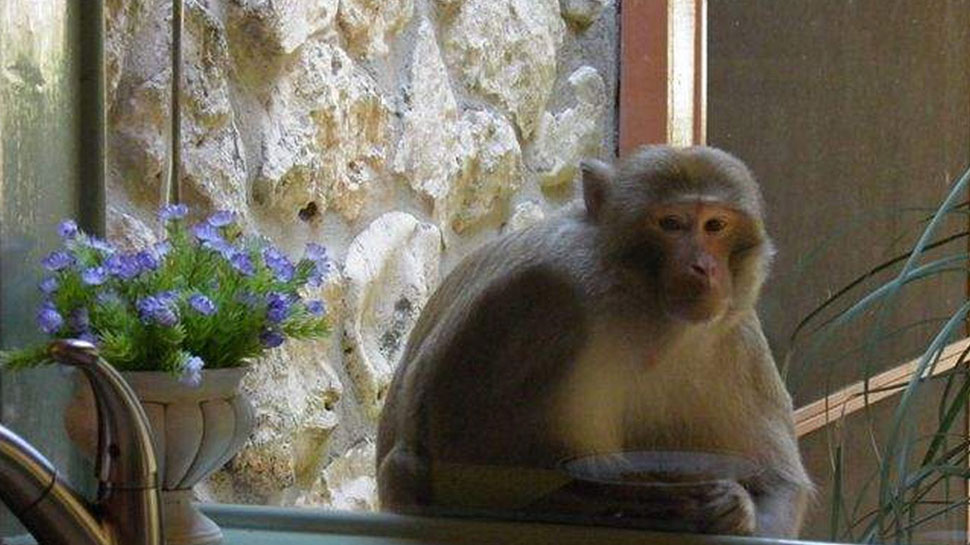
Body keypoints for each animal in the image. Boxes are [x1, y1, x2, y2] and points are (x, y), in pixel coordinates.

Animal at [376, 145, 812, 537]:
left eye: (715, 226)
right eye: (671, 223)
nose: (703, 267)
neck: (646, 314)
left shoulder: (738, 333)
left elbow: (780, 486)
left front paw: (735, 508)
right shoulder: (544, 288)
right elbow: (455, 455)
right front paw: (650, 499)